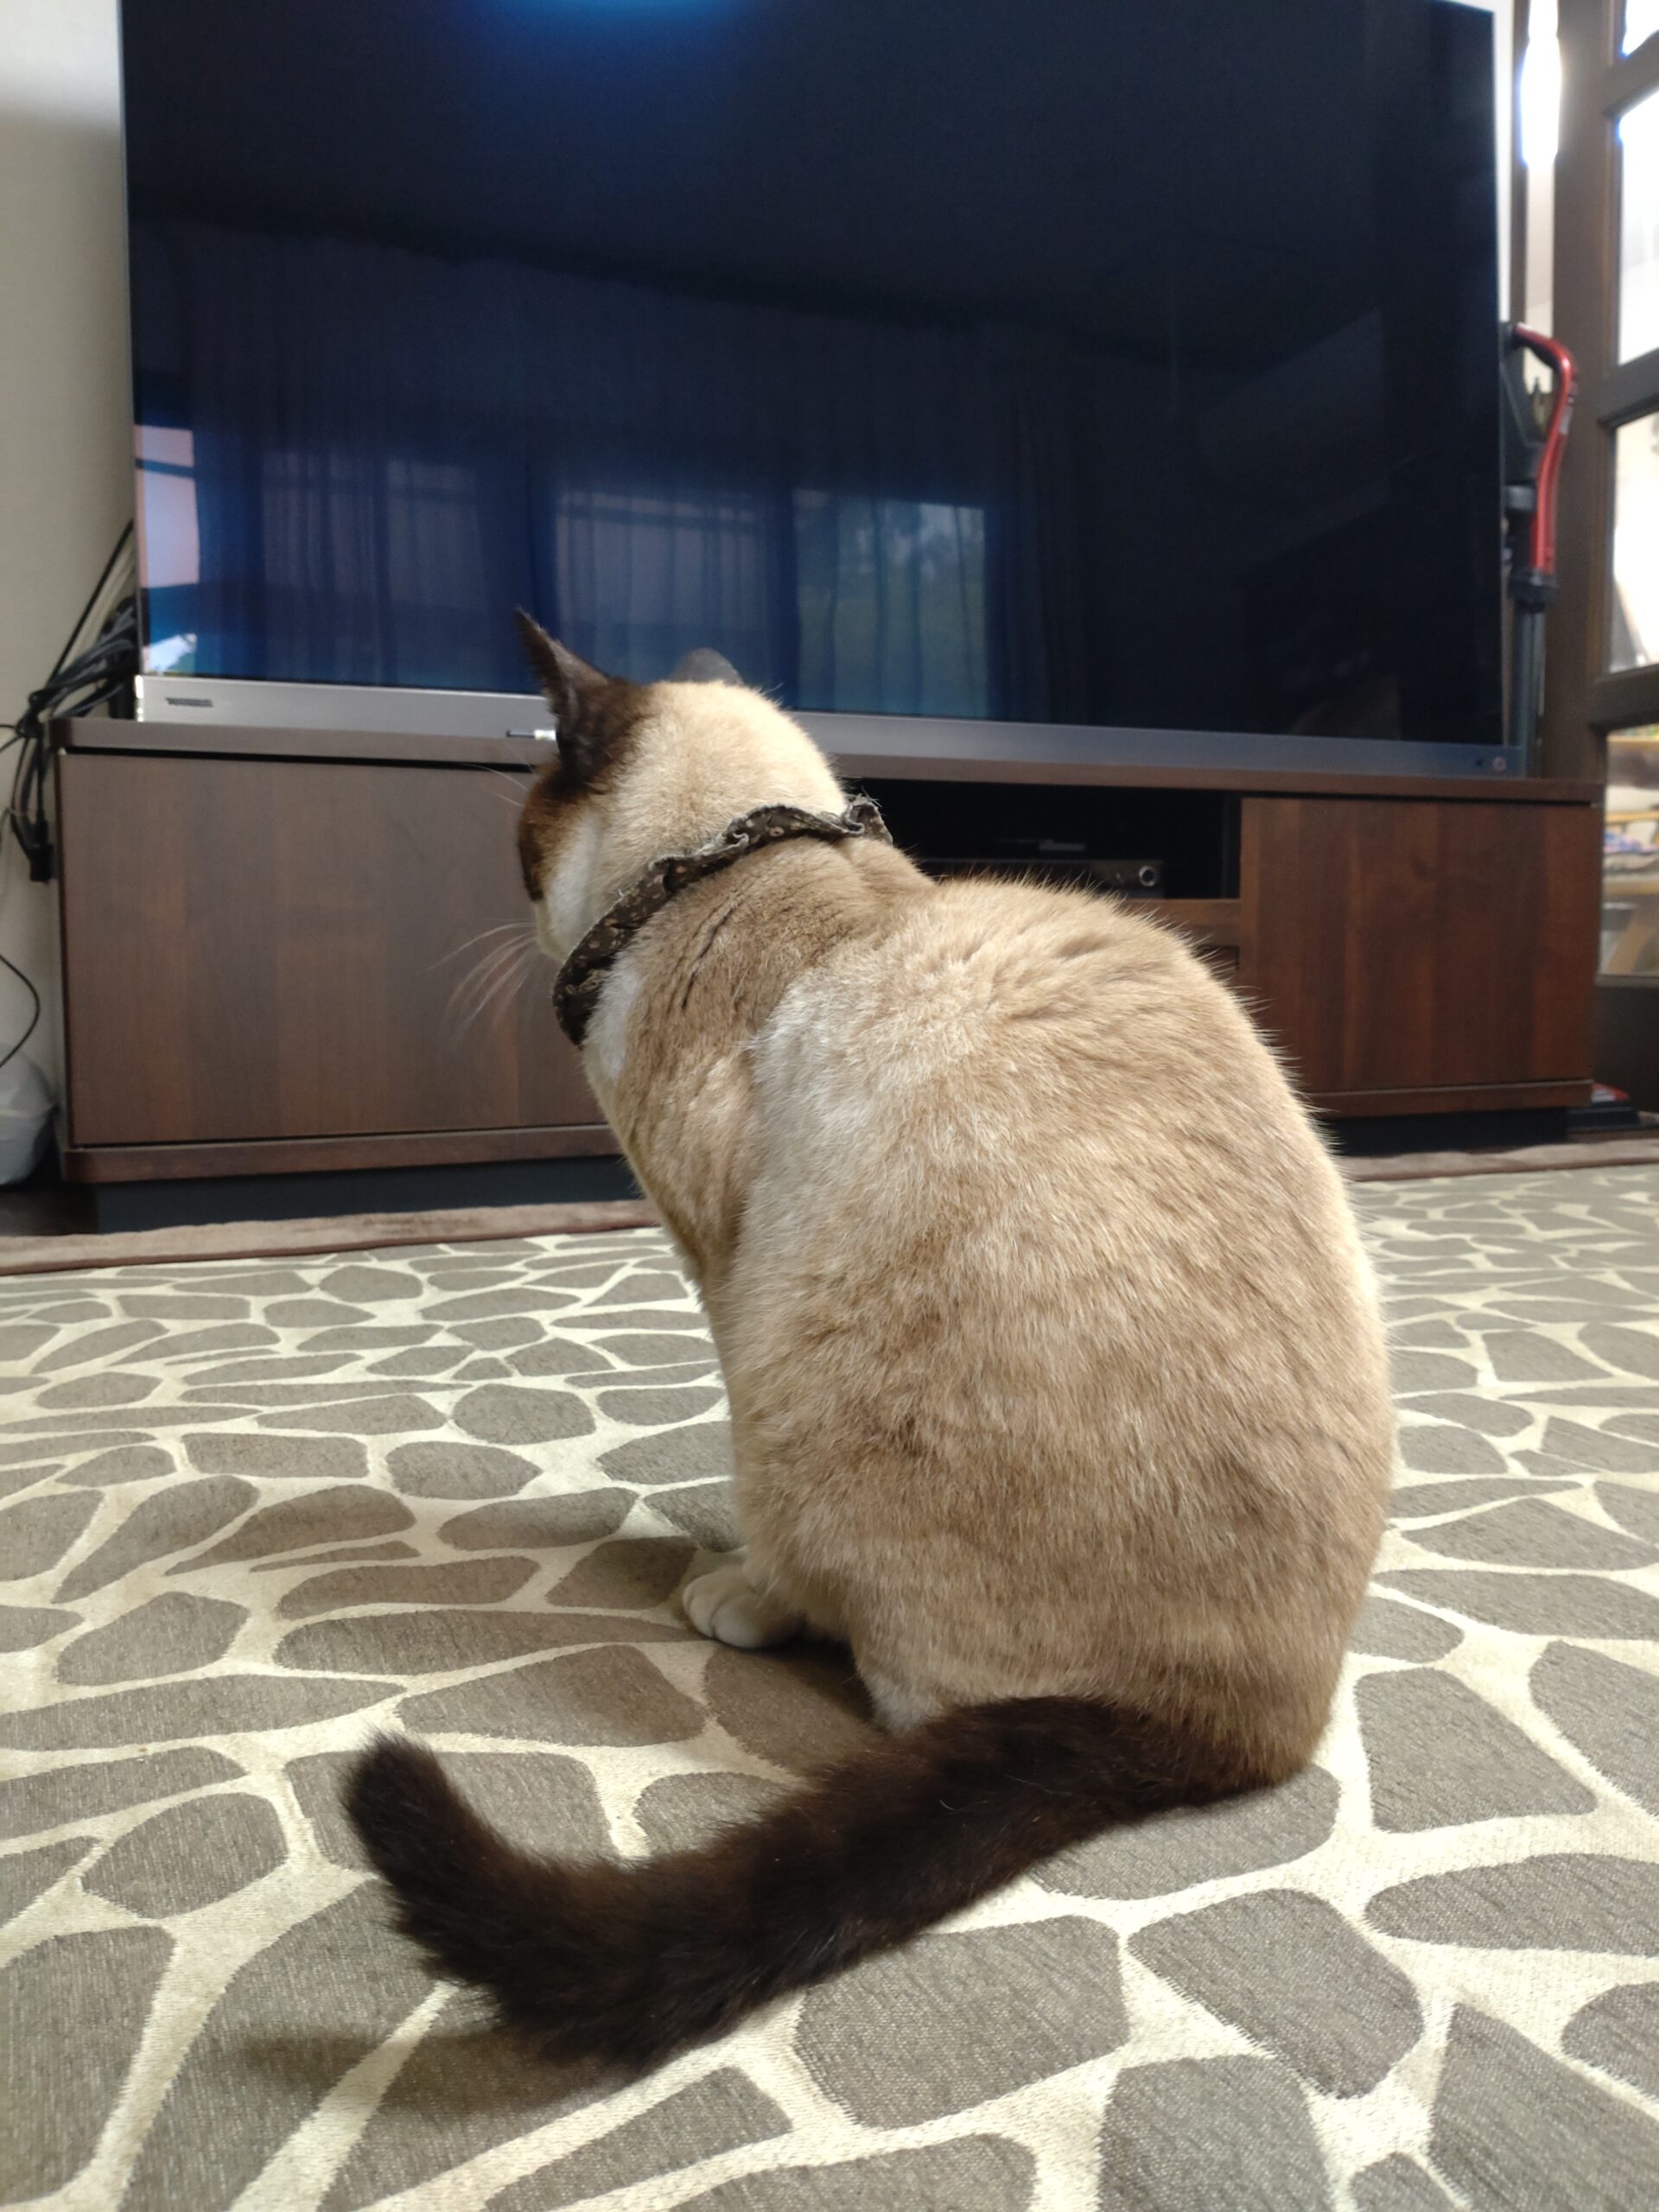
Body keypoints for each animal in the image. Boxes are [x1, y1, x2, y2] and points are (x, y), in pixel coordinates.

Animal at [343, 619, 1395, 2070]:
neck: (756, 867)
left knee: (881, 1667)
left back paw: (744, 1604)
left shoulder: (720, 1259)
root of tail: (1250, 1726)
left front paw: (734, 1585)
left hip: (803, 1376)